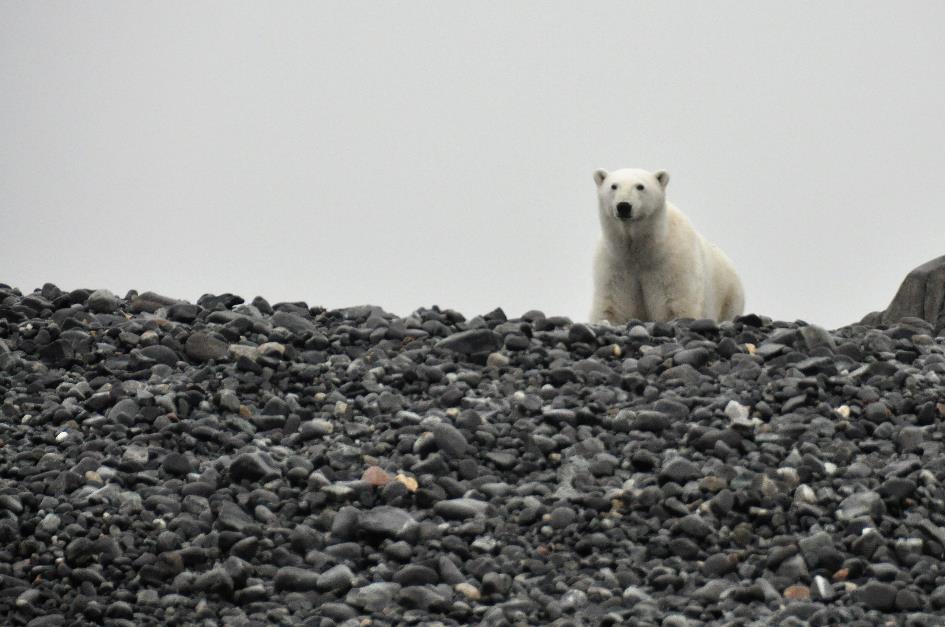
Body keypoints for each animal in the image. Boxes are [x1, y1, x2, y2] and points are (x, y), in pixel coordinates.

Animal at [592, 168, 744, 324]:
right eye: (614, 186)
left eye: (640, 186)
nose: (623, 206)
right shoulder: (614, 264)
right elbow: (613, 304)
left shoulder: (673, 262)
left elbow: (677, 302)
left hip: (728, 293)